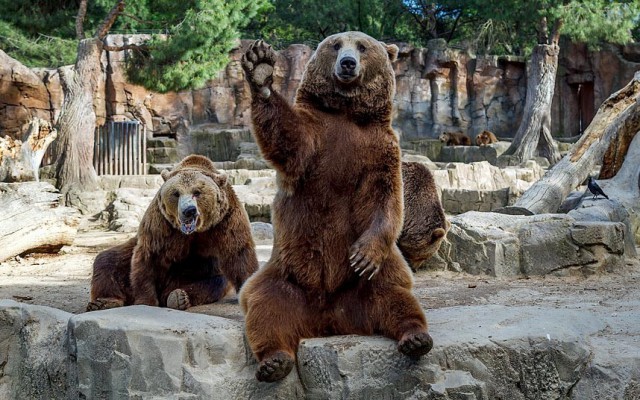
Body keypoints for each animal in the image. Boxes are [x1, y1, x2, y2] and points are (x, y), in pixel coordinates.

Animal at [87, 154, 259, 311]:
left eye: (197, 192)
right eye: (176, 193)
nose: (188, 211)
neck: (194, 231)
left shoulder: (226, 219)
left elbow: (239, 254)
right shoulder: (161, 223)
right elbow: (148, 256)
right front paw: (146, 301)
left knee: (214, 282)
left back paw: (178, 297)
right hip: (127, 253)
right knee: (108, 261)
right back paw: (104, 301)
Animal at [240, 32, 433, 382]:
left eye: (362, 47)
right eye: (336, 44)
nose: (347, 63)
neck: (346, 113)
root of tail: (329, 320)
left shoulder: (380, 149)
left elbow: (387, 199)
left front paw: (363, 255)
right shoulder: (317, 137)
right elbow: (288, 139)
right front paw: (260, 68)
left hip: (368, 283)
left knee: (395, 297)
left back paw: (416, 338)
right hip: (286, 275)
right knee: (266, 307)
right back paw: (274, 361)